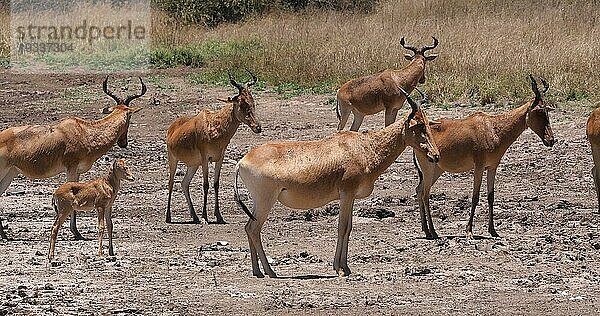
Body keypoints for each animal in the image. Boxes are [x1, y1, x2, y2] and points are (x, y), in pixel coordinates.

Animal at [0, 76, 145, 239]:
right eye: (130, 116)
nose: (123, 143)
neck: (83, 130)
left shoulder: (77, 171)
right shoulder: (71, 169)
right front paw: (77, 233)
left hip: (10, 173)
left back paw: (4, 235)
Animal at [168, 70, 264, 223]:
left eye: (252, 101)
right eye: (241, 103)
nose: (257, 127)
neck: (213, 124)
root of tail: (172, 127)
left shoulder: (219, 158)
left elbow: (216, 184)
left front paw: (219, 216)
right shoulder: (205, 159)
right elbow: (206, 185)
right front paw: (205, 217)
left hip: (193, 165)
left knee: (184, 183)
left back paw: (194, 216)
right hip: (173, 159)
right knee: (171, 183)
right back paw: (169, 216)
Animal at [236, 88, 440, 276]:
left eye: (427, 123)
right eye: (419, 125)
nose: (436, 155)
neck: (362, 147)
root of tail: (242, 161)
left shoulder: (351, 197)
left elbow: (348, 228)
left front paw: (345, 267)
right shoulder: (346, 194)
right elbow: (342, 228)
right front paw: (340, 269)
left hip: (258, 202)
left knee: (248, 228)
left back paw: (258, 271)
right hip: (266, 200)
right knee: (254, 229)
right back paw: (270, 271)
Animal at [414, 75, 556, 239]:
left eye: (547, 110)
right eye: (539, 111)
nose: (550, 140)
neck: (492, 127)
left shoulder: (492, 167)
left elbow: (490, 196)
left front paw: (493, 230)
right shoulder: (479, 167)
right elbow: (475, 197)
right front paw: (469, 231)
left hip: (437, 170)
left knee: (419, 190)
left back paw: (426, 230)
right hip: (428, 167)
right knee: (425, 194)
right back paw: (433, 232)